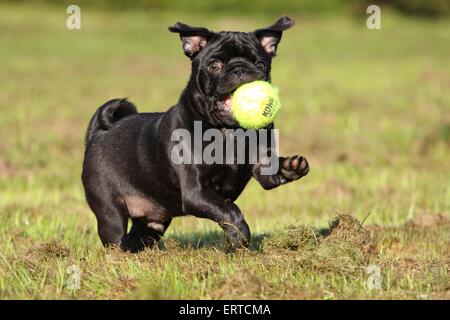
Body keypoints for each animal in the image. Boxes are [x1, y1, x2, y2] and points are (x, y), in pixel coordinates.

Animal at [81, 16, 310, 252]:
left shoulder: (262, 168)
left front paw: (292, 166)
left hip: (152, 223)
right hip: (111, 214)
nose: (239, 68)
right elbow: (231, 211)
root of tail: (98, 134)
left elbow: (267, 177)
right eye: (214, 65)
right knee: (115, 238)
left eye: (260, 64)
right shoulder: (196, 193)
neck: (229, 132)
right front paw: (239, 240)